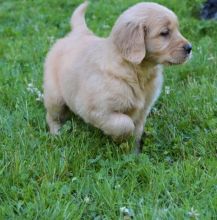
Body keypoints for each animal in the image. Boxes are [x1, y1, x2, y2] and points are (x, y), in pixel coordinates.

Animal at [42, 1, 192, 153]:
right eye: (165, 33)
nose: (189, 48)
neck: (136, 71)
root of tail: (77, 32)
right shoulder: (95, 110)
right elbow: (125, 124)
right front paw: (121, 140)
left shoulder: (143, 110)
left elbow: (137, 130)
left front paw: (133, 152)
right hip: (55, 97)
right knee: (51, 116)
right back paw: (56, 133)